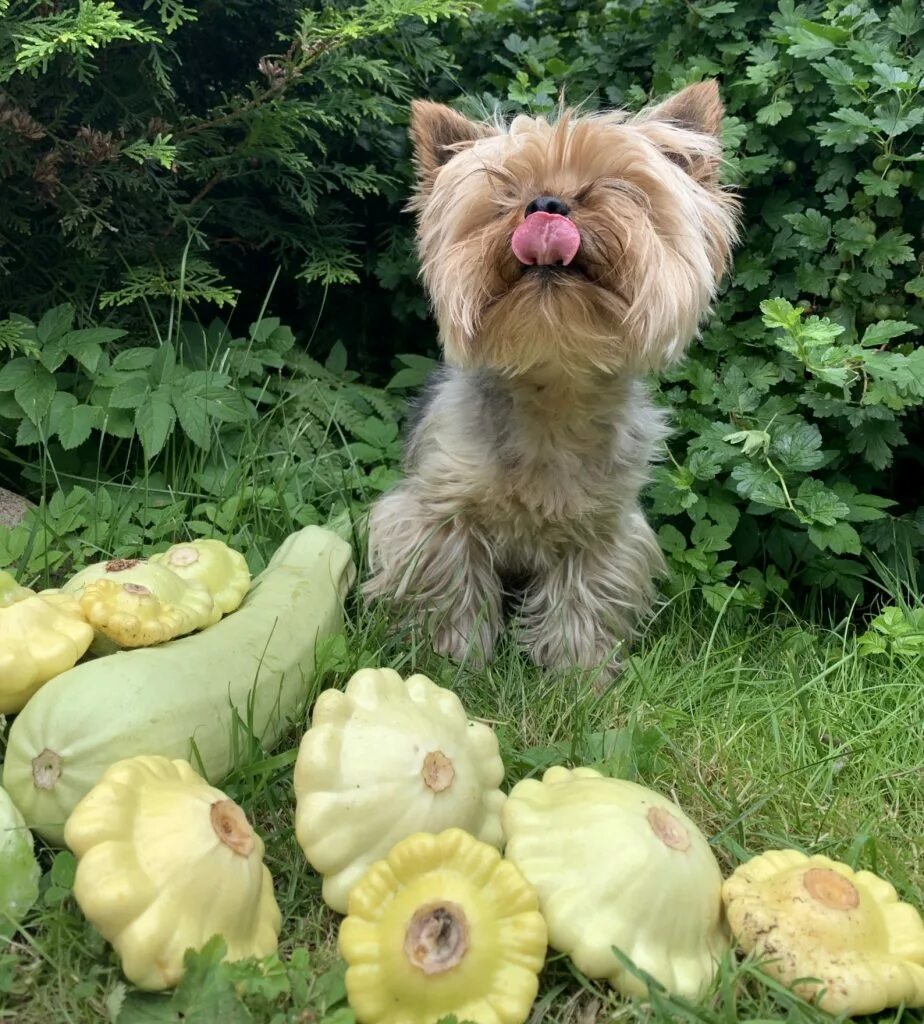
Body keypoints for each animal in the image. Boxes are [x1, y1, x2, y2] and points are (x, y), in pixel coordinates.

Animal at [364, 79, 741, 671]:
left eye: (615, 185)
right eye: (505, 191)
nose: (545, 205)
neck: (552, 382)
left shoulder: (603, 530)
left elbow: (582, 599)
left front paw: (579, 674)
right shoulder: (438, 513)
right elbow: (452, 588)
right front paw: (456, 661)